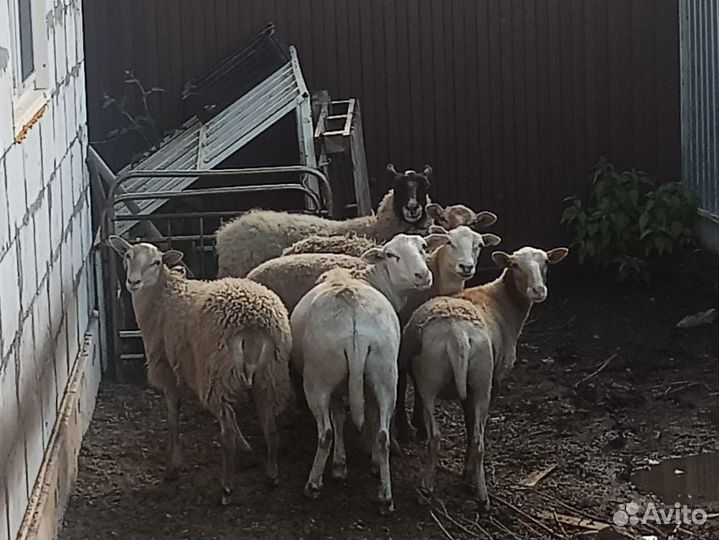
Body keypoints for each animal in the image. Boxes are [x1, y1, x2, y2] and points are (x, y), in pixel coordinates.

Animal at [107, 235, 293, 504]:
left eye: (156, 262)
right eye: (127, 256)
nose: (133, 282)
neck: (163, 296)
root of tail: (253, 323)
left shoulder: (166, 367)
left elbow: (173, 414)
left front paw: (173, 467)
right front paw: (248, 453)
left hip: (216, 373)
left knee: (227, 432)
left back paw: (226, 487)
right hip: (268, 375)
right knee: (270, 427)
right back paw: (272, 475)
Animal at [290, 232, 451, 515]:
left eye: (423, 247)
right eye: (391, 254)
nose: (423, 275)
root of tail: (355, 324)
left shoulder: (337, 387)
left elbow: (338, 420)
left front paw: (339, 465)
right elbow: (370, 418)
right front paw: (371, 463)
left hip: (318, 377)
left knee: (326, 433)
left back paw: (313, 485)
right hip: (385, 373)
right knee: (383, 435)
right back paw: (385, 497)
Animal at [394, 225, 501, 441]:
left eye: (479, 245)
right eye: (450, 242)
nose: (466, 267)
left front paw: (418, 422)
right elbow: (402, 382)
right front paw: (405, 427)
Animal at [399, 246, 569, 511]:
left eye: (547, 263)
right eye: (515, 265)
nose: (538, 291)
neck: (502, 301)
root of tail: (457, 335)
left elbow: (470, 429)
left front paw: (466, 473)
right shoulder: (496, 380)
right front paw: (466, 473)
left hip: (449, 380)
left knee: (448, 438)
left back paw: (455, 490)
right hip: (477, 380)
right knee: (468, 439)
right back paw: (468, 492)